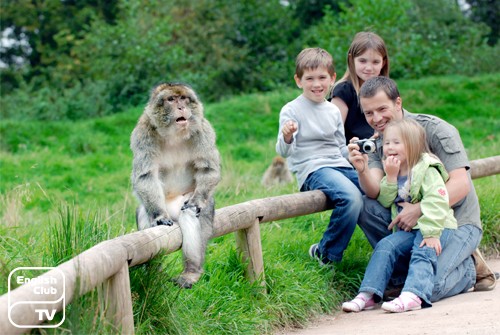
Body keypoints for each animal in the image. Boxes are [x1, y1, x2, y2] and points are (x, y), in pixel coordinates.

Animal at [131, 82, 221, 288]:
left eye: (183, 99)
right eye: (171, 99)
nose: (181, 107)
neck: (174, 135)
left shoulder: (203, 129)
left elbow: (208, 169)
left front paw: (196, 202)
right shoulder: (143, 132)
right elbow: (145, 176)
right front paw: (158, 216)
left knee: (189, 215)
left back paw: (191, 273)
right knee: (145, 214)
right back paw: (153, 272)